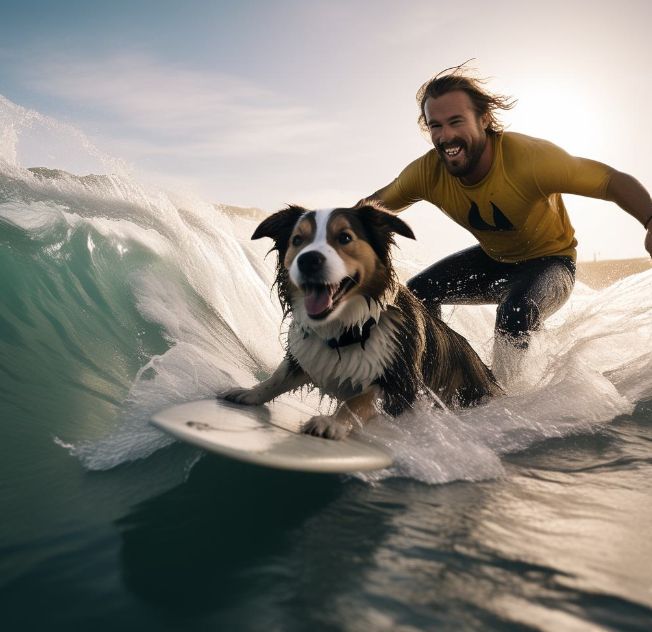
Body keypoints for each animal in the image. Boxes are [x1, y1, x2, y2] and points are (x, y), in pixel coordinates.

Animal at [222, 202, 502, 440]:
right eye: (297, 240)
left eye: (345, 237)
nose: (308, 260)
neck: (350, 329)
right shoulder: (311, 353)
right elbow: (279, 376)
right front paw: (251, 393)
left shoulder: (401, 383)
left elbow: (358, 400)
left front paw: (331, 423)